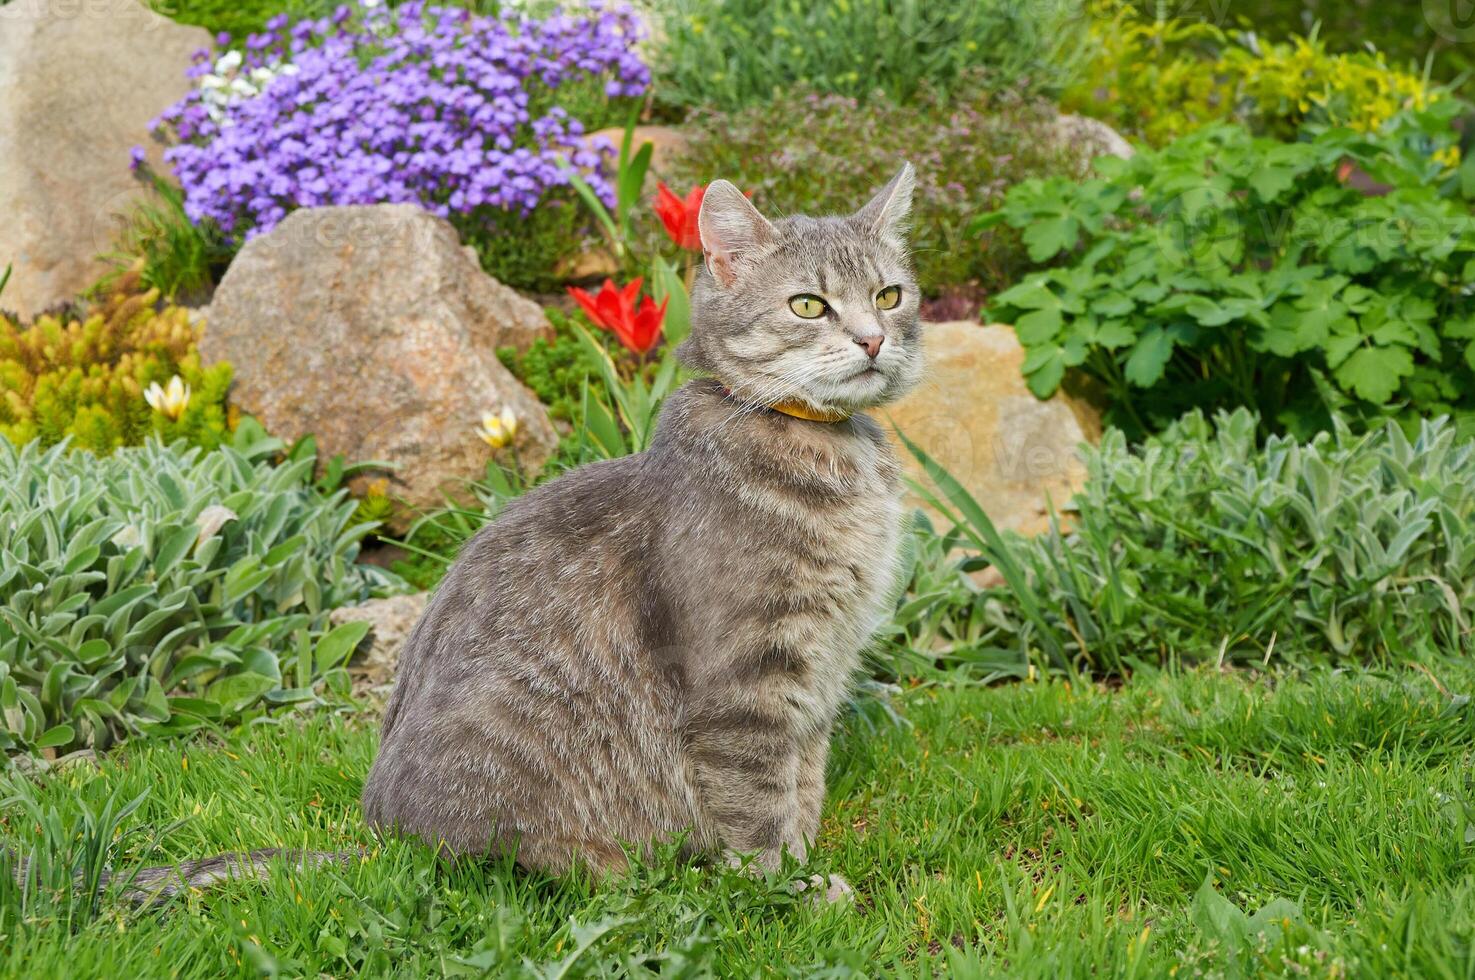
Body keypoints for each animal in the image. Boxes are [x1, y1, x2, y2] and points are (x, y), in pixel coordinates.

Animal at [358, 164, 920, 891]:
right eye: (807, 305)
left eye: (889, 295)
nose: (872, 339)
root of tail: (380, 843)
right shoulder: (744, 681)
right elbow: (757, 803)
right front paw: (779, 889)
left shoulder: (821, 675)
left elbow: (803, 785)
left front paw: (804, 865)